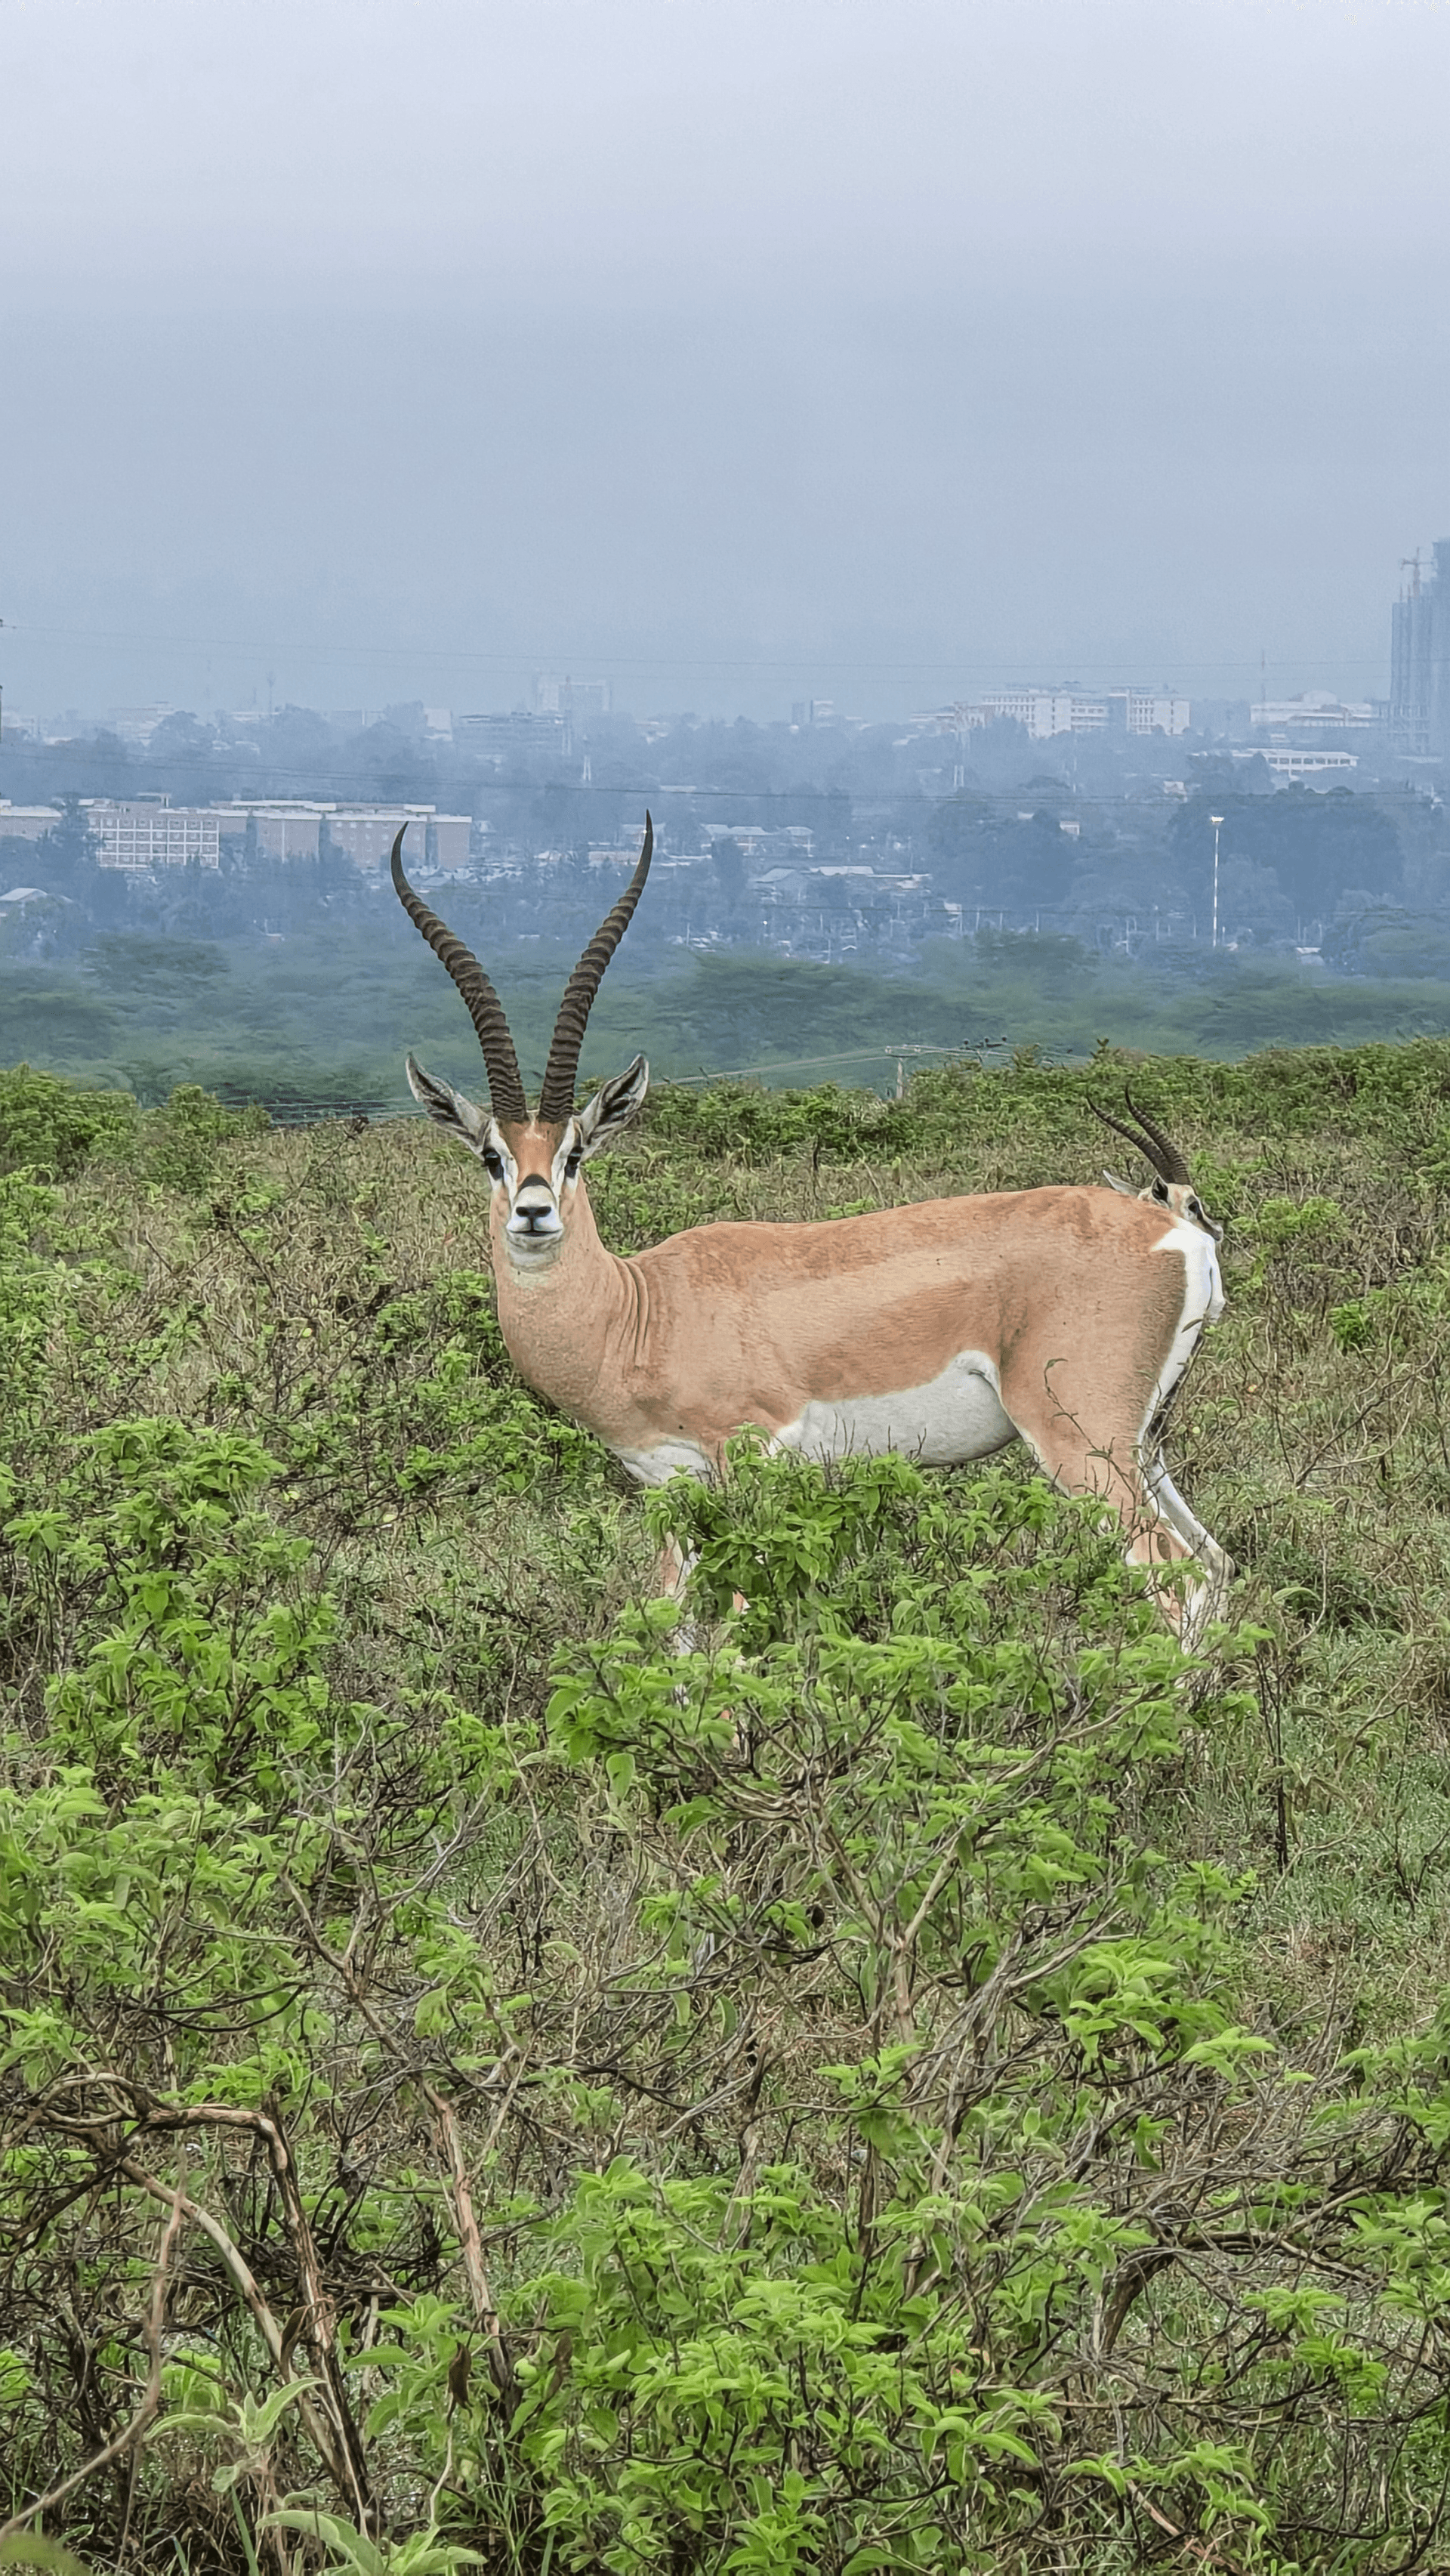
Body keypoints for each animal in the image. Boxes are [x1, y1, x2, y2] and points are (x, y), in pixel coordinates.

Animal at [392, 818, 1229, 1643]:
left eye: (575, 1152)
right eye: (492, 1156)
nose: (534, 1212)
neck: (642, 1311)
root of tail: (1177, 1234)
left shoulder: (749, 1457)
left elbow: (739, 1621)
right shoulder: (668, 1488)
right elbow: (674, 1627)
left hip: (1080, 1441)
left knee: (1175, 1580)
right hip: (1147, 1443)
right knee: (1215, 1567)